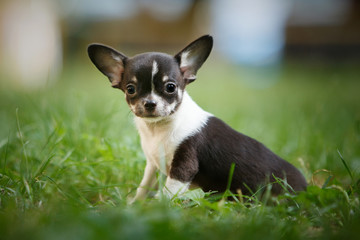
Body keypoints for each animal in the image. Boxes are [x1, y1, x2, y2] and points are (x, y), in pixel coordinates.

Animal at [87, 34, 306, 202]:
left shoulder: (183, 169)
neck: (159, 129)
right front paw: (134, 204)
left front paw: (153, 209)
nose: (150, 103)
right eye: (131, 89)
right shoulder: (152, 165)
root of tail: (304, 186)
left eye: (170, 87)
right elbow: (144, 186)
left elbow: (167, 194)